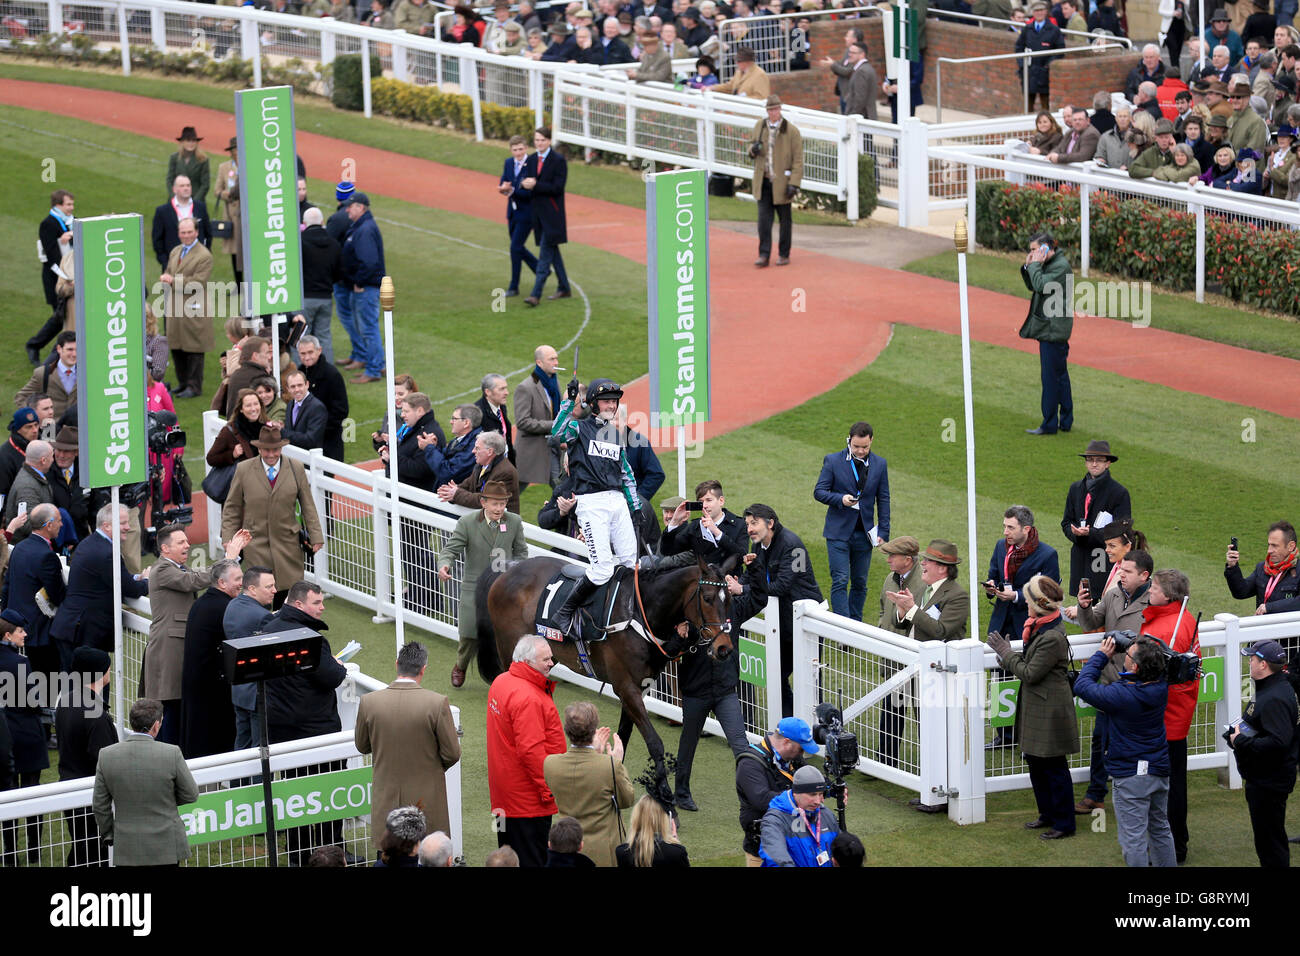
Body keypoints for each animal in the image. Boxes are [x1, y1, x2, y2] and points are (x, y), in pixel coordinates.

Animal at [480, 554, 743, 806]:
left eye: (729, 600)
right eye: (707, 598)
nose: (724, 649)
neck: (640, 613)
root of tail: (507, 569)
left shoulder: (638, 688)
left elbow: (624, 736)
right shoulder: (626, 687)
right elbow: (654, 741)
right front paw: (666, 792)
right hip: (512, 651)